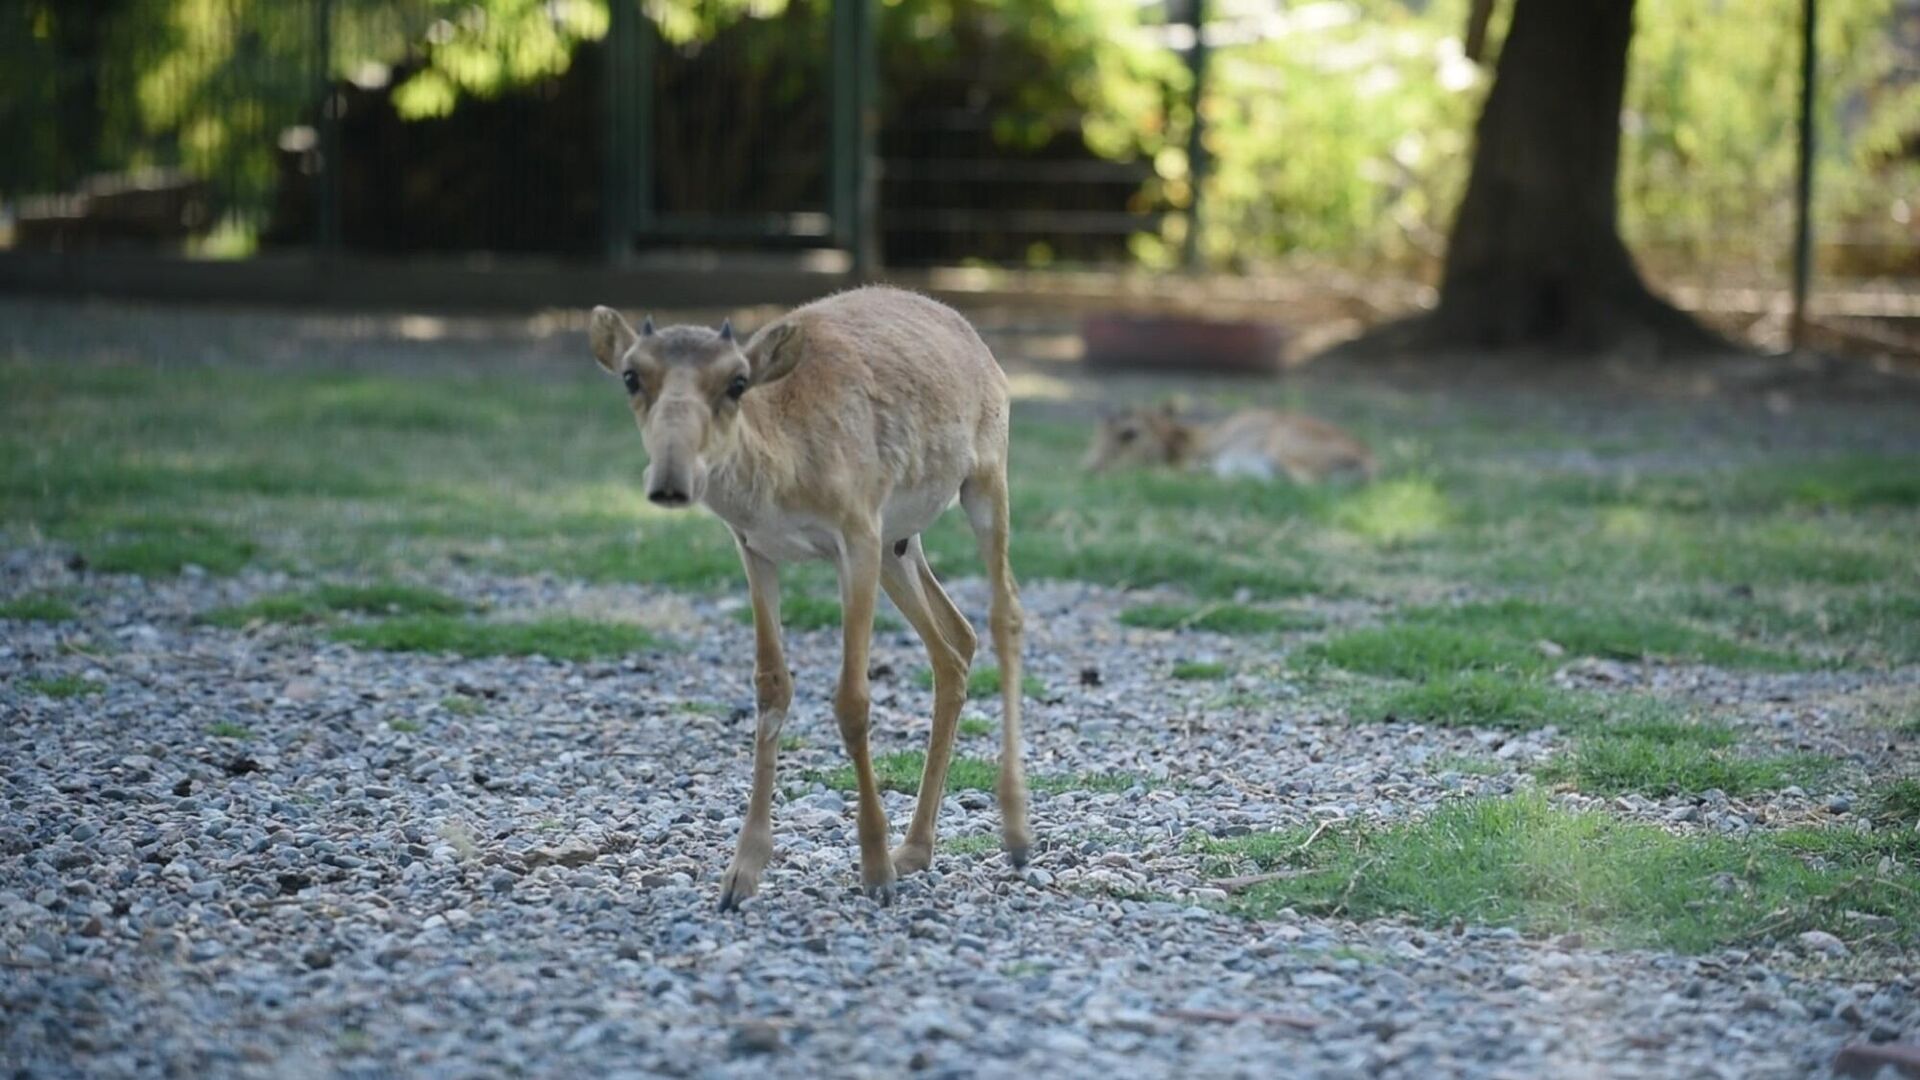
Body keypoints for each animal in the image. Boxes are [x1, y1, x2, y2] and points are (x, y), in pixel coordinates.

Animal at [587, 286, 1029, 907]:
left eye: (737, 382)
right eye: (631, 375)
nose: (671, 481)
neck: (784, 468)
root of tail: (969, 332)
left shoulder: (857, 537)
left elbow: (853, 700)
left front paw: (874, 869)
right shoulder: (756, 550)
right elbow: (771, 687)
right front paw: (740, 873)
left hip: (984, 482)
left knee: (1003, 613)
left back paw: (1014, 836)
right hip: (900, 543)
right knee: (953, 644)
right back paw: (916, 848)